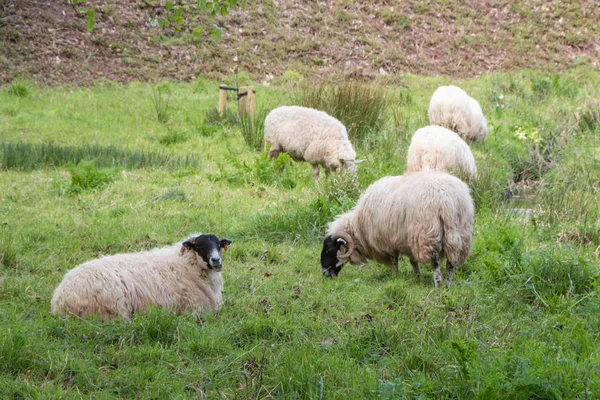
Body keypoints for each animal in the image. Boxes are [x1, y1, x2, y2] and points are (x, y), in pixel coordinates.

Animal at [51, 233, 232, 320]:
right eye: (199, 246)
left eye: (218, 245)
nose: (216, 261)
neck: (186, 264)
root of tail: (59, 299)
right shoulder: (195, 308)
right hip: (113, 307)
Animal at [322, 170, 476, 286]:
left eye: (330, 250)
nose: (324, 274)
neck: (359, 226)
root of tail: (447, 199)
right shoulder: (407, 239)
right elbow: (413, 261)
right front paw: (418, 277)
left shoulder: (388, 240)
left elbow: (394, 260)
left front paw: (395, 276)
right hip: (459, 232)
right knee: (452, 262)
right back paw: (448, 284)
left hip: (428, 233)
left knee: (435, 261)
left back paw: (438, 284)